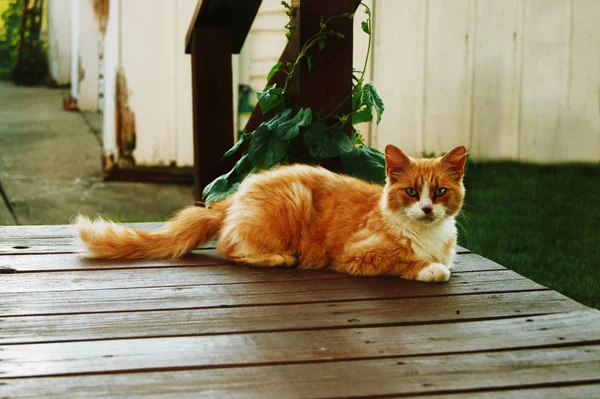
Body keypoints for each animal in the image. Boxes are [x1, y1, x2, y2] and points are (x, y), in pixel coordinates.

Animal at [76, 145, 468, 282]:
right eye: (412, 192)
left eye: (440, 192)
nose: (427, 208)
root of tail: (235, 194)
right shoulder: (357, 255)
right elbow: (404, 261)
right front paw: (430, 269)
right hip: (292, 201)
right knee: (231, 250)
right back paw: (280, 258)